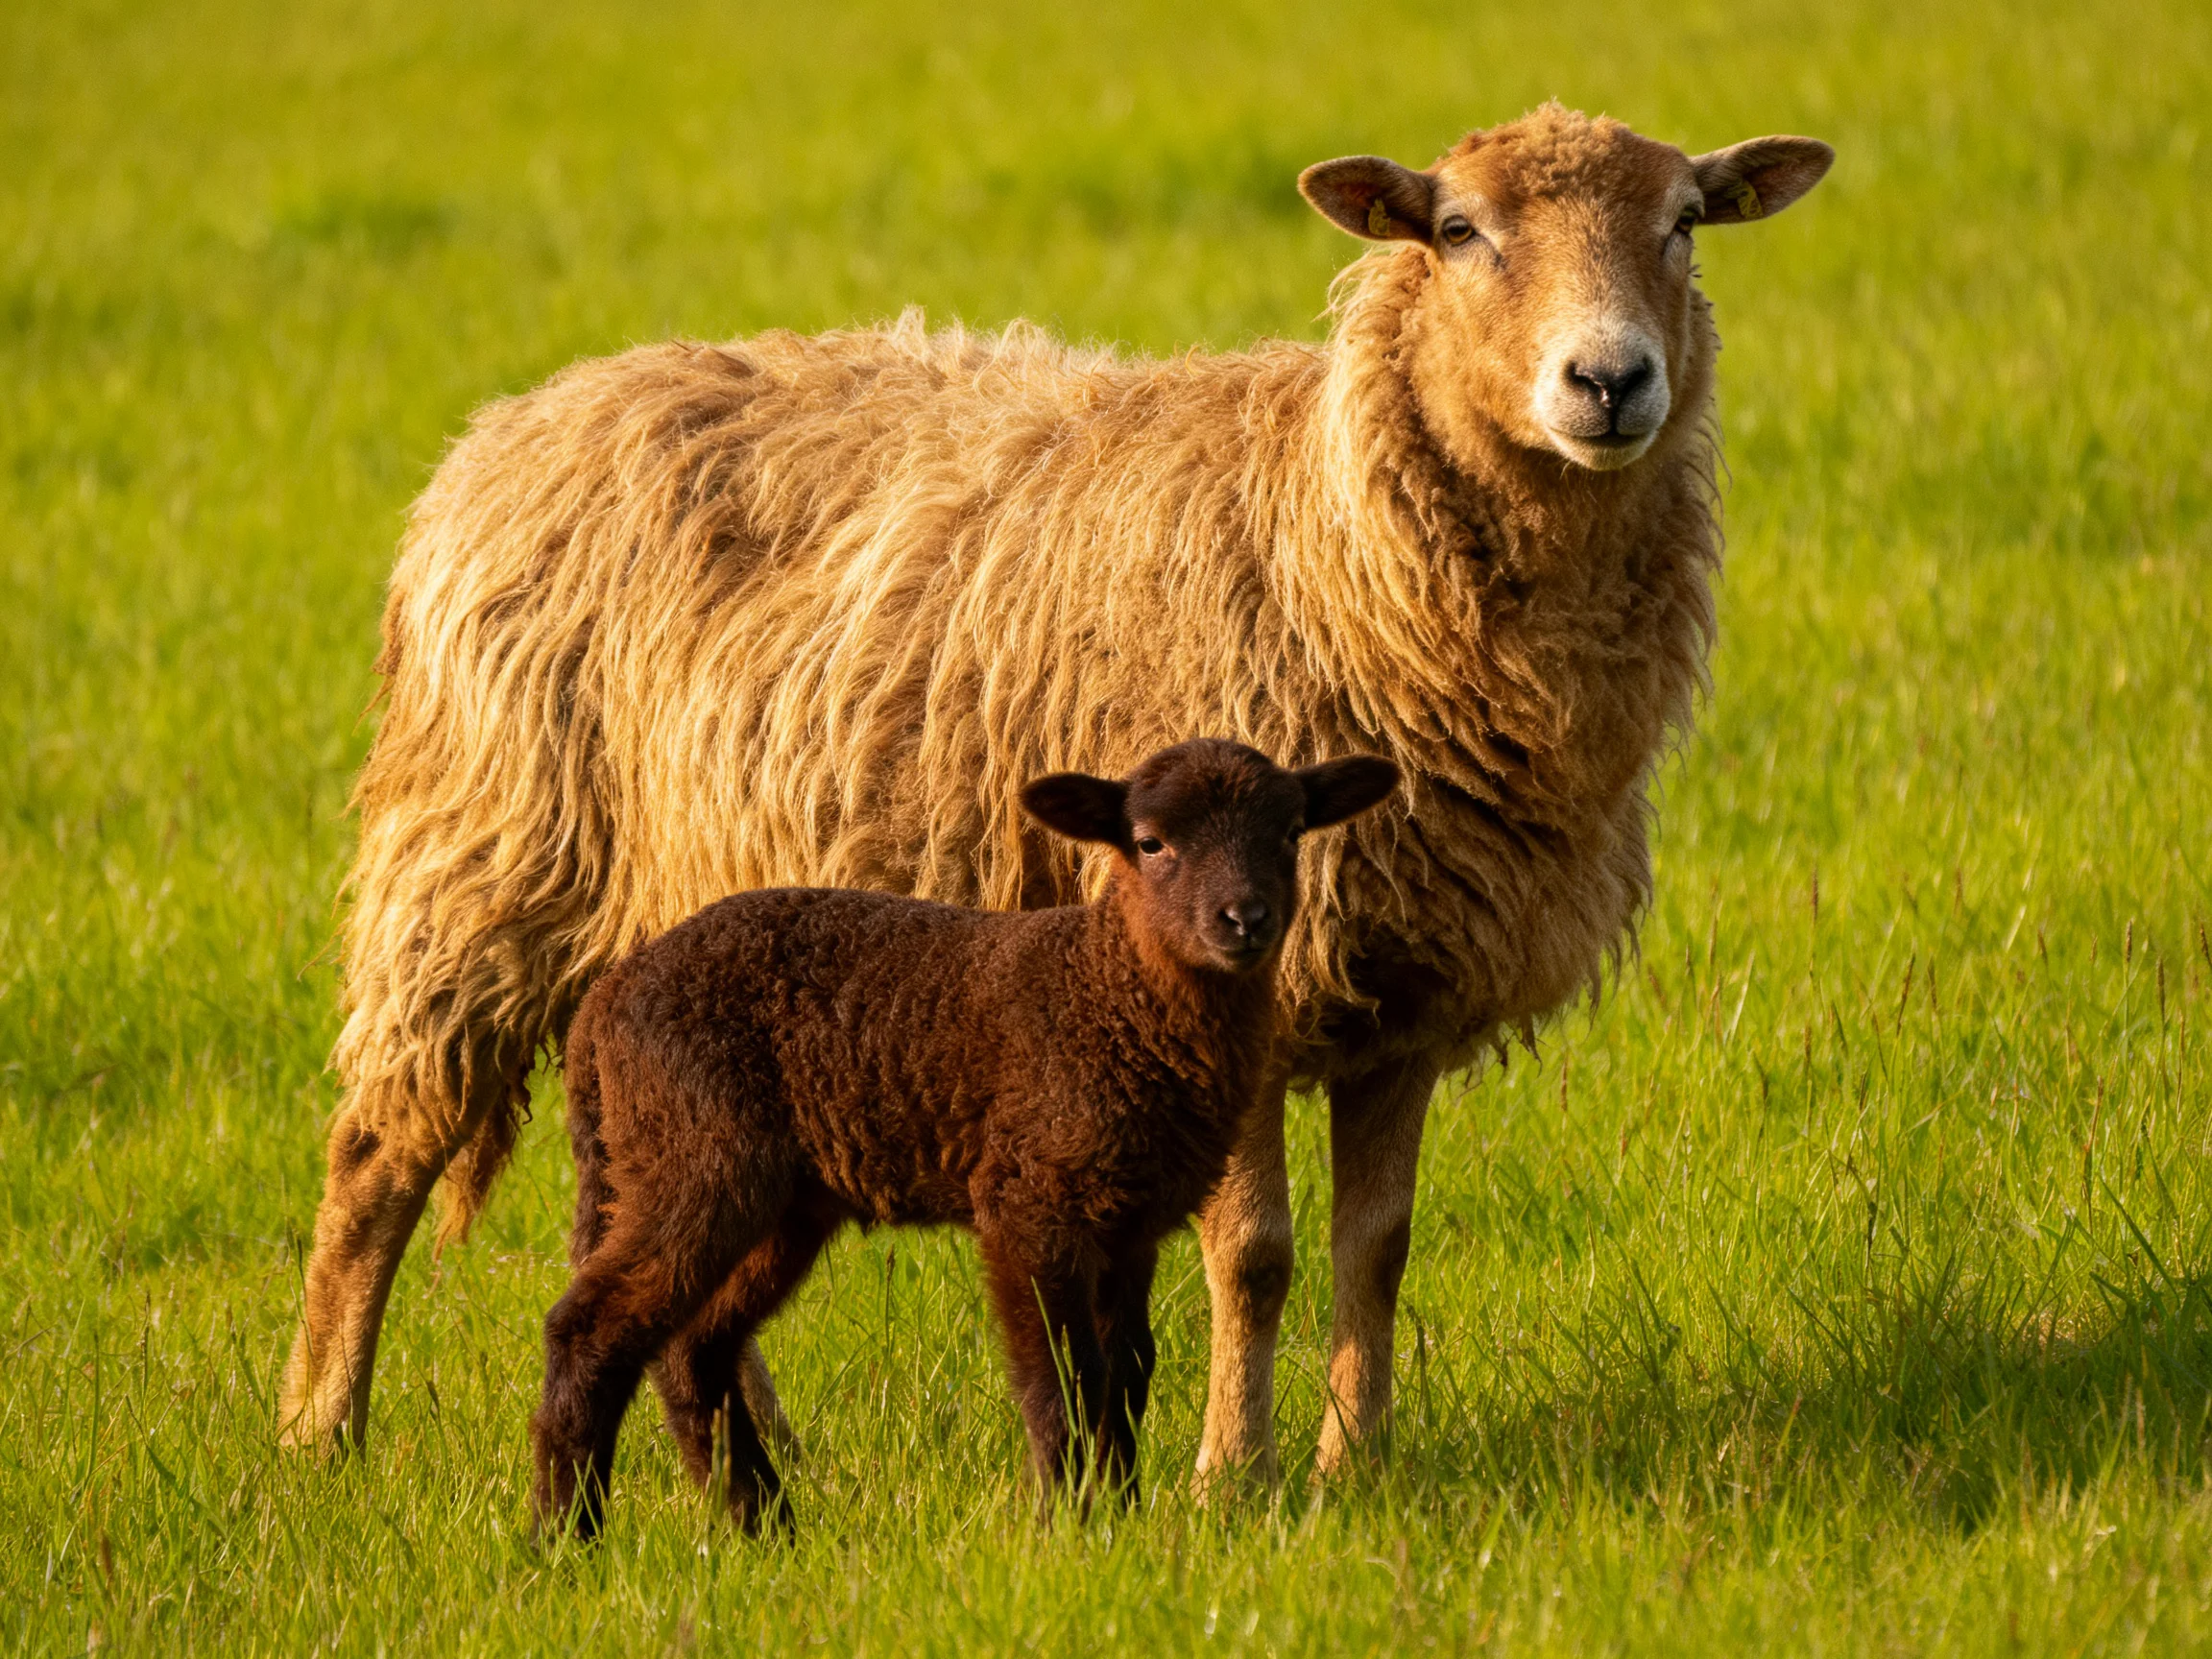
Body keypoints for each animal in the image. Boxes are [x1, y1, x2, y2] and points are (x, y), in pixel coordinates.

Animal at [531, 741, 1400, 1537]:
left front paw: (1120, 1517)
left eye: (1289, 833)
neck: (1111, 991)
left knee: (695, 1349)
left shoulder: (1128, 1220)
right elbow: (1061, 1376)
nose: (1244, 920)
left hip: (777, 1202)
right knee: (594, 1327)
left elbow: (1127, 1371)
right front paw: (1067, 1525)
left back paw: (763, 1524)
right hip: (694, 1157)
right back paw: (566, 1537)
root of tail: (603, 1004)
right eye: (1151, 843)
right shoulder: (1029, 1201)